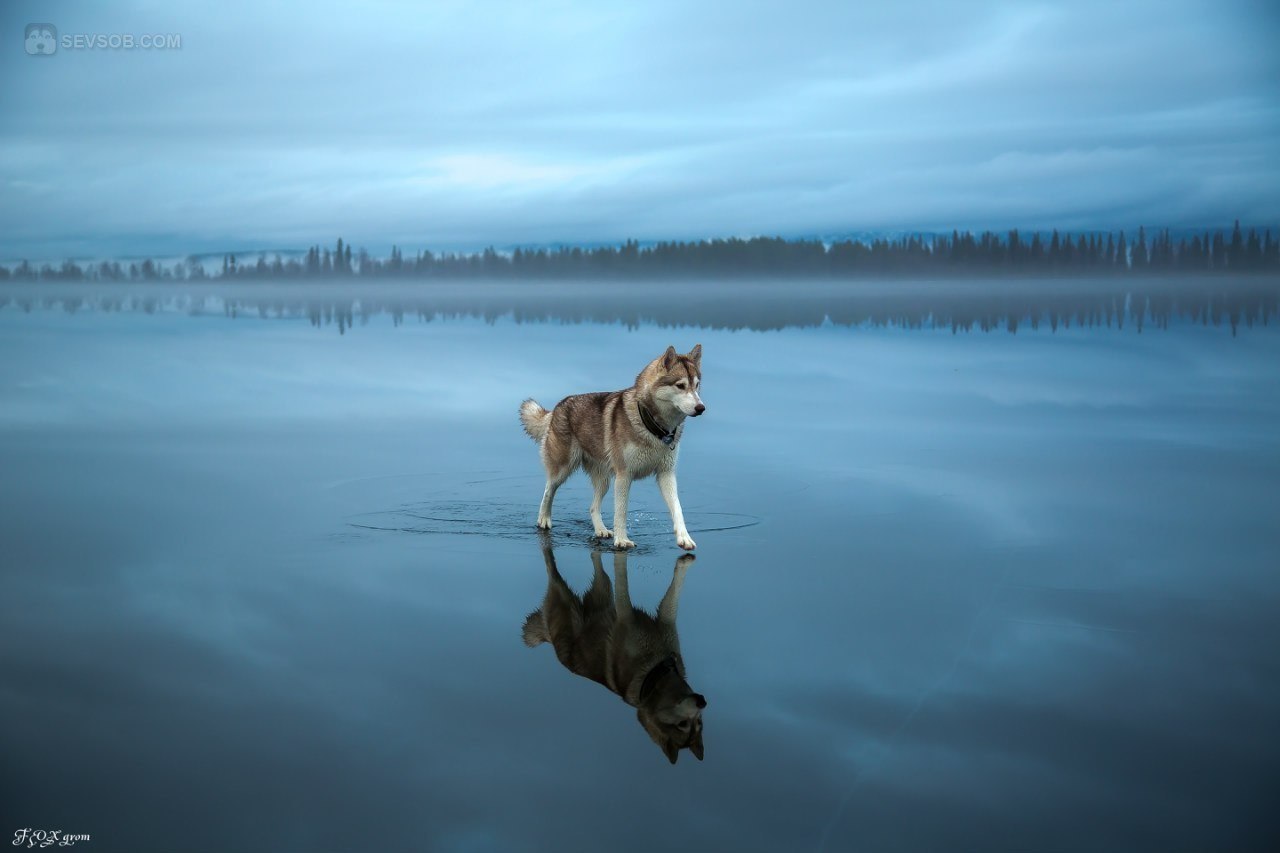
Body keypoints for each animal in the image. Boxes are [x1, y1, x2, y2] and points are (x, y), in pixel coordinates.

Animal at [517, 343, 706, 548]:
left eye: (697, 385)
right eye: (680, 386)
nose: (701, 408)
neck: (652, 426)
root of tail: (557, 407)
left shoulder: (666, 474)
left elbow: (677, 508)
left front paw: (684, 538)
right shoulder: (624, 476)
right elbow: (621, 511)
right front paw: (622, 540)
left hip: (604, 480)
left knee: (592, 507)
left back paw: (601, 530)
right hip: (563, 469)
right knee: (548, 491)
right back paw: (543, 520)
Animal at [522, 535, 711, 758]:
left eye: (699, 724)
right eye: (682, 725)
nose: (703, 702)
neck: (657, 669)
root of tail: (551, 640)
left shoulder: (666, 620)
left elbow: (673, 593)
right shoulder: (625, 616)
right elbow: (623, 586)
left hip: (602, 589)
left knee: (599, 567)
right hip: (563, 594)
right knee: (551, 567)